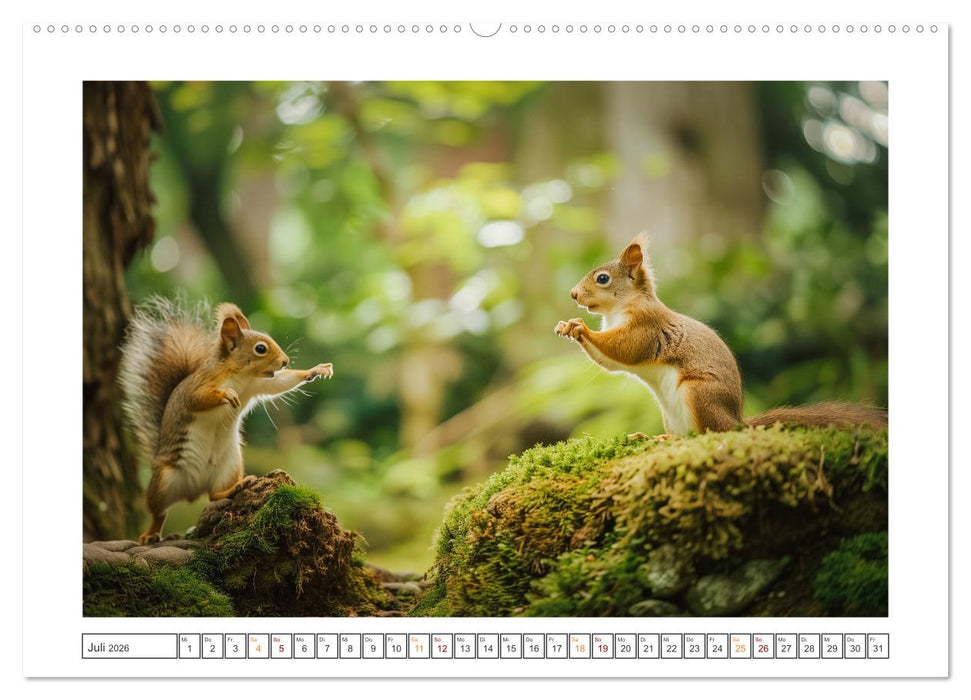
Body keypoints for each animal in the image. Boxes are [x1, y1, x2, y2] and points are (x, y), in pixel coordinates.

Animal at [118, 297, 334, 543]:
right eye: (260, 348)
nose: (285, 361)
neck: (241, 376)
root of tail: (193, 490)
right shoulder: (201, 384)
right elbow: (198, 399)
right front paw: (226, 395)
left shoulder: (257, 384)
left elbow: (279, 383)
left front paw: (316, 370)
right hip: (163, 481)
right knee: (158, 512)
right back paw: (151, 534)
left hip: (229, 466)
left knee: (214, 496)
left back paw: (235, 487)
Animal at [555, 233, 887, 436]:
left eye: (602, 278)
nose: (573, 294)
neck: (619, 308)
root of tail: (736, 421)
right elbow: (611, 362)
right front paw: (567, 326)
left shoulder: (646, 326)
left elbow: (625, 348)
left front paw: (580, 327)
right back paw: (649, 437)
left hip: (699, 394)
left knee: (708, 434)